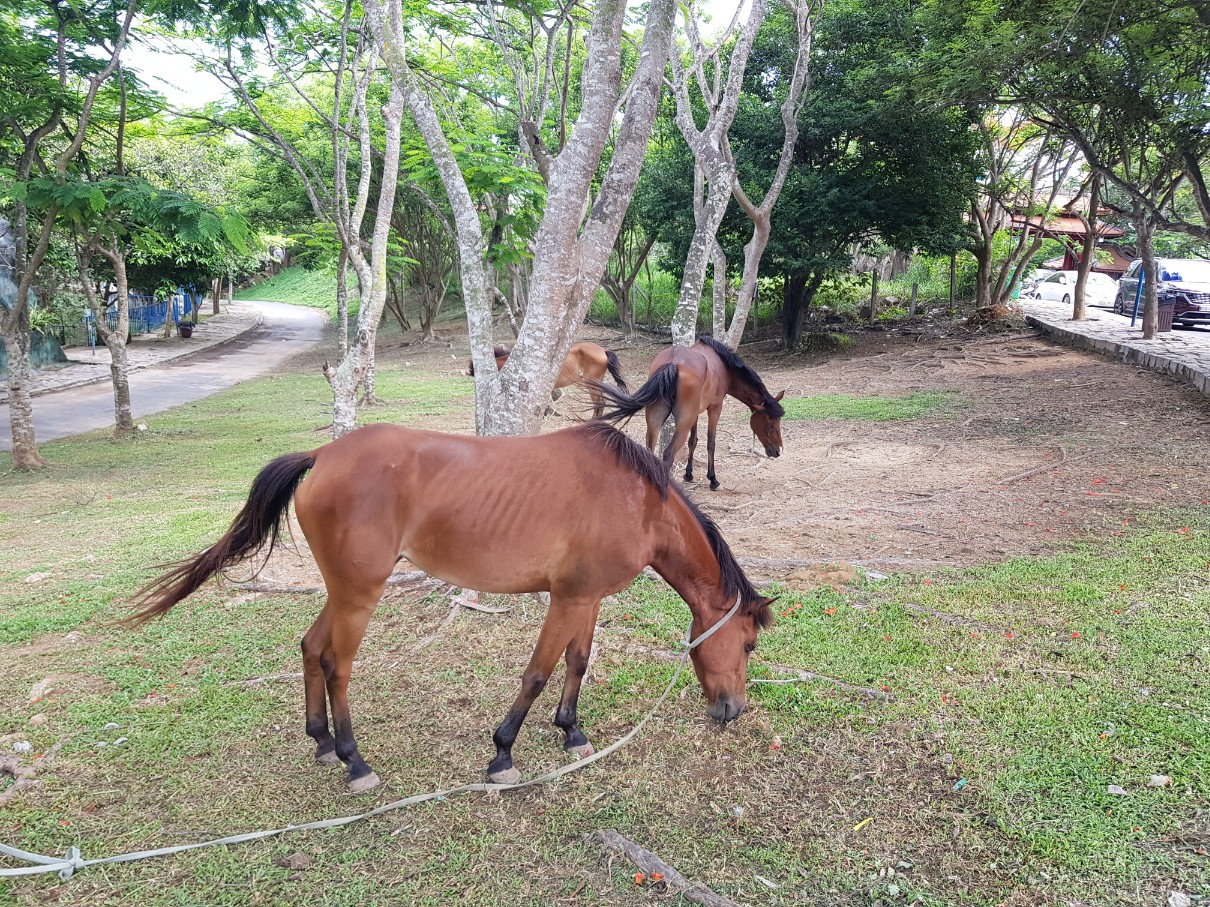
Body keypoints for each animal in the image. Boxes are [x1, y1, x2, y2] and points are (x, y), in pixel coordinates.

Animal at [127, 423, 769, 793]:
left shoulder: (585, 597)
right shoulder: (568, 600)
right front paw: (502, 753)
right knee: (337, 666)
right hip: (359, 596)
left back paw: (320, 742)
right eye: (749, 643)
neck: (638, 501)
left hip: (343, 592)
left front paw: (571, 732)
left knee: (311, 647)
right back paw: (354, 761)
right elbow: (537, 673)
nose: (733, 709)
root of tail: (322, 454)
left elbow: (577, 663)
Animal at [592, 333, 784, 490]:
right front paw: (712, 479)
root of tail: (672, 363)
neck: (723, 366)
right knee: (668, 454)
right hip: (682, 423)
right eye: (771, 424)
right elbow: (710, 442)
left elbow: (693, 441)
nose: (778, 451)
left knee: (650, 451)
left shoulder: (695, 414)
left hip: (656, 419)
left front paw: (688, 474)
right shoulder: (714, 408)